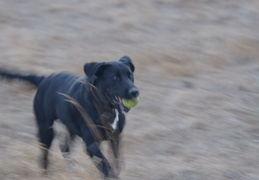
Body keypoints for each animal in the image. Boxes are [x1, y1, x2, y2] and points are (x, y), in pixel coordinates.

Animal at [0, 56, 140, 179]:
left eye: (130, 75)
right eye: (115, 77)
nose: (135, 92)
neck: (104, 106)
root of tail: (44, 79)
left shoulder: (115, 138)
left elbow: (116, 162)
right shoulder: (91, 144)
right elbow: (107, 166)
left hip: (72, 128)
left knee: (64, 147)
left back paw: (75, 168)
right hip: (46, 129)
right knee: (44, 156)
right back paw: (46, 175)